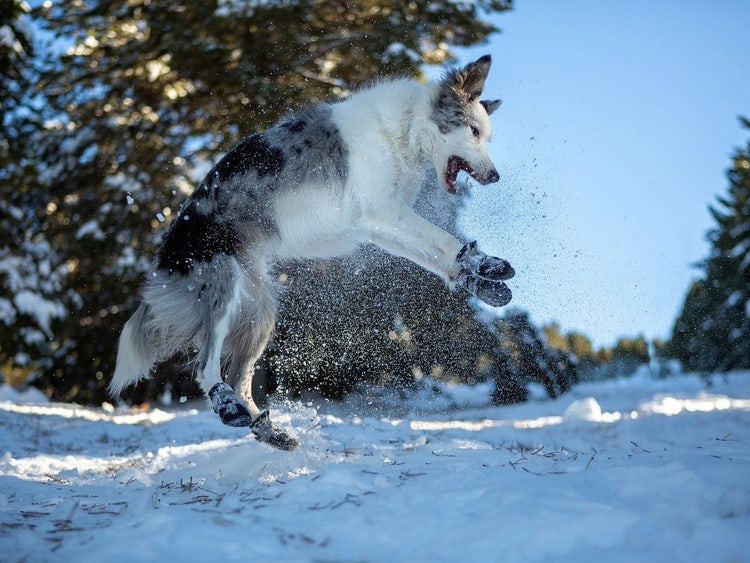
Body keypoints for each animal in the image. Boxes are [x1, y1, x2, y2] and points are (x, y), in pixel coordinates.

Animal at [111, 55, 516, 452]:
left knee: (240, 377)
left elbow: (435, 258)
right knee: (206, 366)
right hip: (226, 286)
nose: (496, 176)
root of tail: (165, 257)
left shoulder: (379, 225)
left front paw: (482, 282)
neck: (403, 130)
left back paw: (264, 428)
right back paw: (227, 405)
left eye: (487, 136)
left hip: (260, 310)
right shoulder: (384, 212)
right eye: (474, 132)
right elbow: (443, 239)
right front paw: (486, 263)